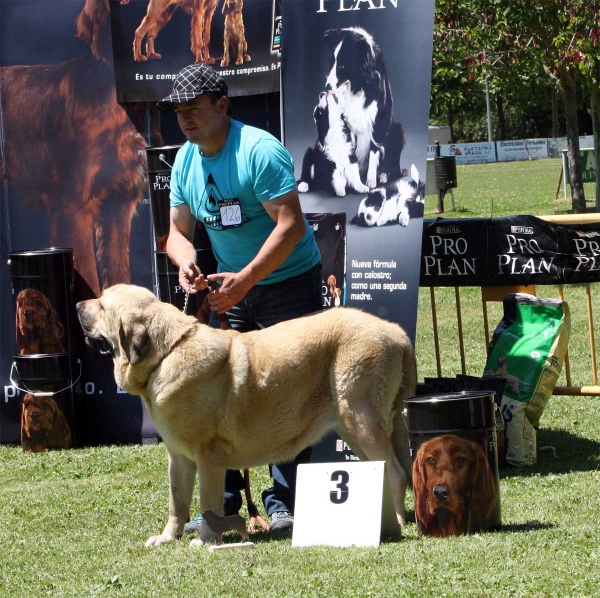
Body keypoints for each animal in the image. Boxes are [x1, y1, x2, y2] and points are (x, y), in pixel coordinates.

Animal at [77, 284, 418, 548]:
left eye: (102, 304)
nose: (79, 304)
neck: (167, 353)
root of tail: (396, 332)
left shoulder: (209, 457)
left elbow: (208, 501)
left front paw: (205, 540)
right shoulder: (179, 458)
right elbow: (177, 502)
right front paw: (167, 538)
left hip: (360, 419)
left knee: (396, 471)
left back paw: (397, 521)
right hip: (356, 429)